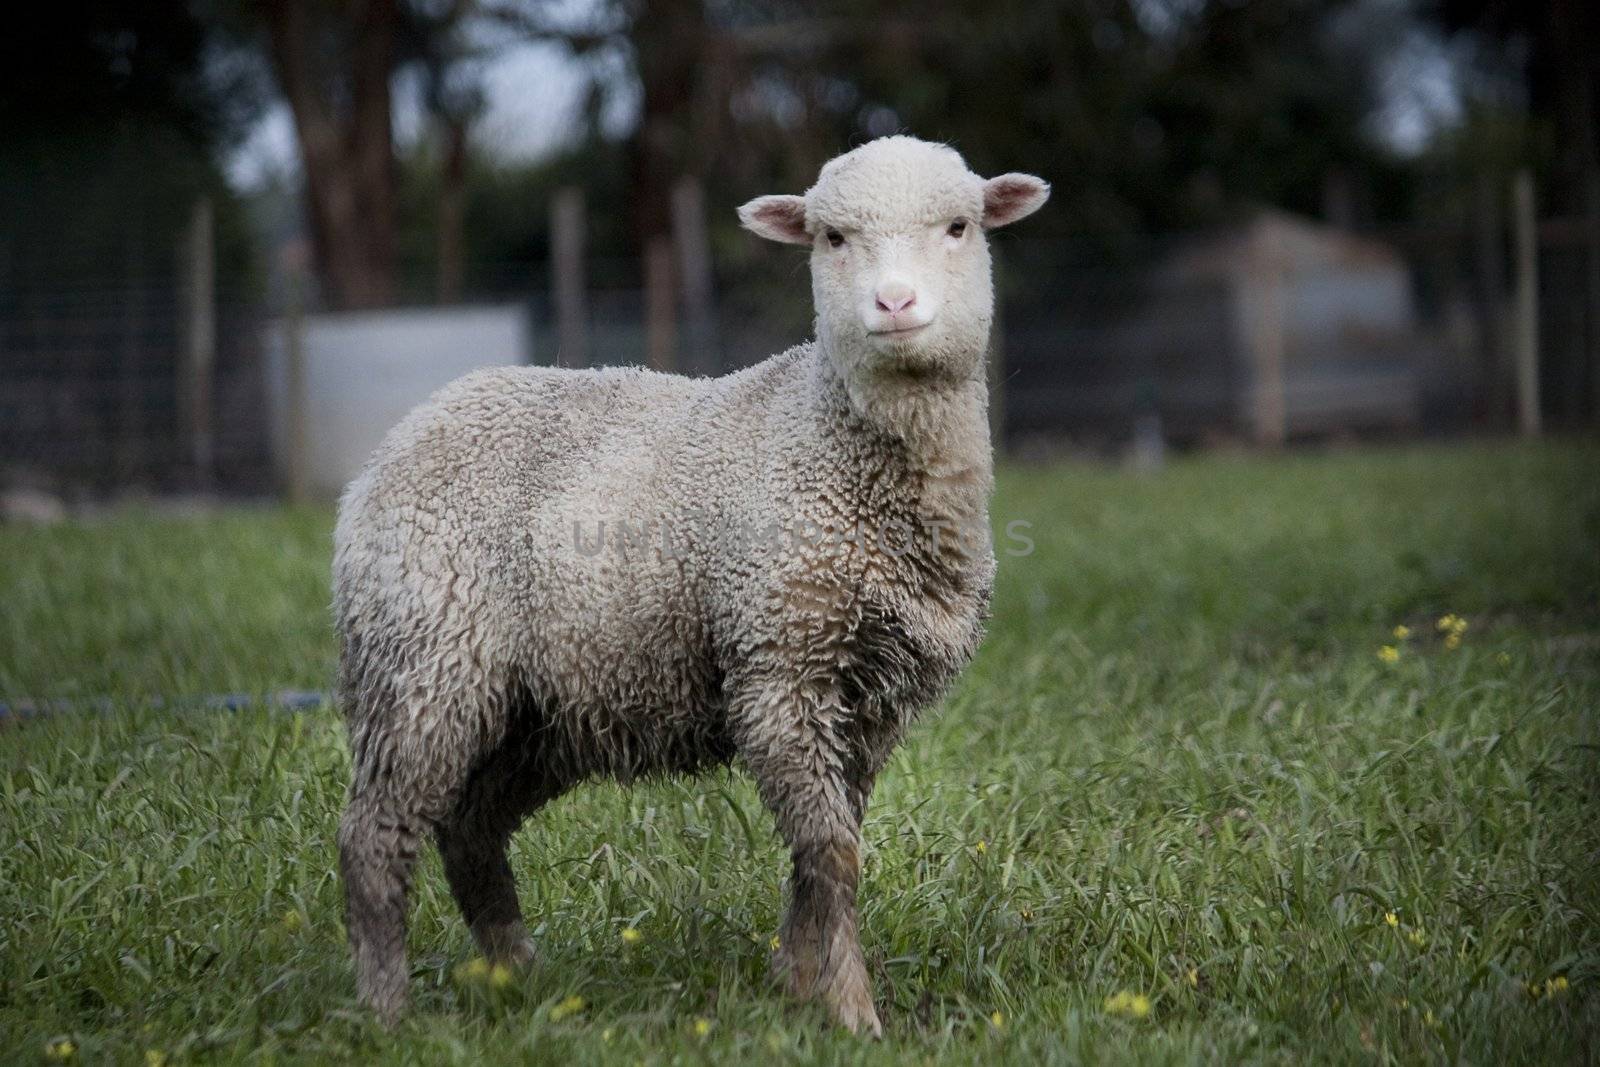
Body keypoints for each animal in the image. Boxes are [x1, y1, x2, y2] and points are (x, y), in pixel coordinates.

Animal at [331, 135, 1043, 1036]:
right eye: (832, 238)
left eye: (959, 226)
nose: (894, 302)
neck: (828, 439)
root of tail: (397, 440)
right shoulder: (780, 665)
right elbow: (833, 852)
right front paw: (850, 1012)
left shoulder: (873, 699)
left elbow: (825, 849)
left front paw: (797, 983)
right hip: (426, 657)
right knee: (376, 831)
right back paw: (388, 1007)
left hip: (544, 705)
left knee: (471, 826)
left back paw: (519, 978)